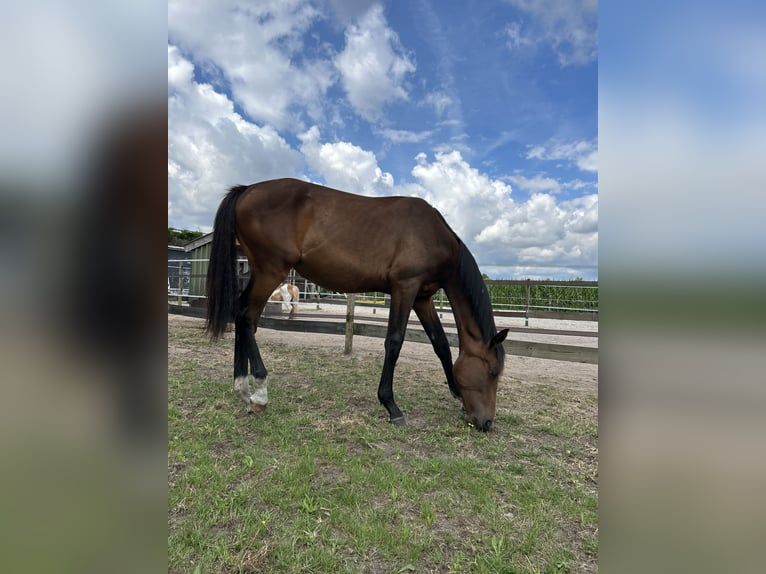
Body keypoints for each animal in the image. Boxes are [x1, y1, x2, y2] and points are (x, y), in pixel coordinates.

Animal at [206, 179, 510, 432]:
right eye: (492, 372)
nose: (486, 423)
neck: (432, 234)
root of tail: (247, 189)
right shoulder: (405, 288)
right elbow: (394, 342)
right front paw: (391, 406)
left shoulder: (422, 297)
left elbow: (440, 343)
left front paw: (456, 394)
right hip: (270, 272)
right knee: (247, 317)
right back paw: (259, 392)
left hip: (260, 273)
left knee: (242, 315)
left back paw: (242, 389)